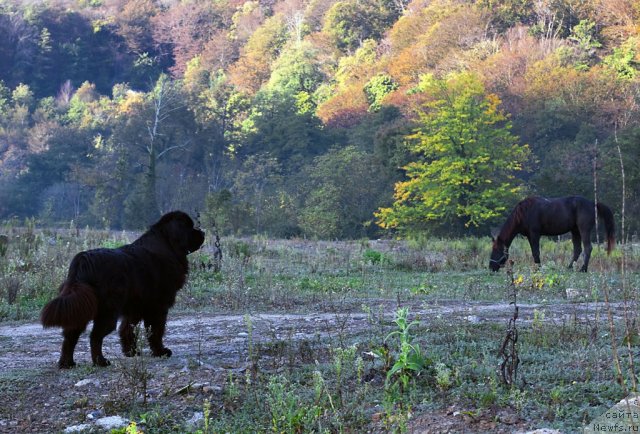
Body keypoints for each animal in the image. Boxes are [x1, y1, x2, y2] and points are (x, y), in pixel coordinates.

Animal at [40, 212, 204, 368]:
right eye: (190, 227)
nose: (202, 232)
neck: (168, 244)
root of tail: (84, 259)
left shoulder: (135, 307)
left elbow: (127, 329)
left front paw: (131, 352)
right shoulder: (158, 307)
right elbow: (156, 330)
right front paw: (160, 352)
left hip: (81, 306)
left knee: (70, 335)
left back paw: (67, 364)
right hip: (107, 311)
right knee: (95, 336)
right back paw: (100, 362)